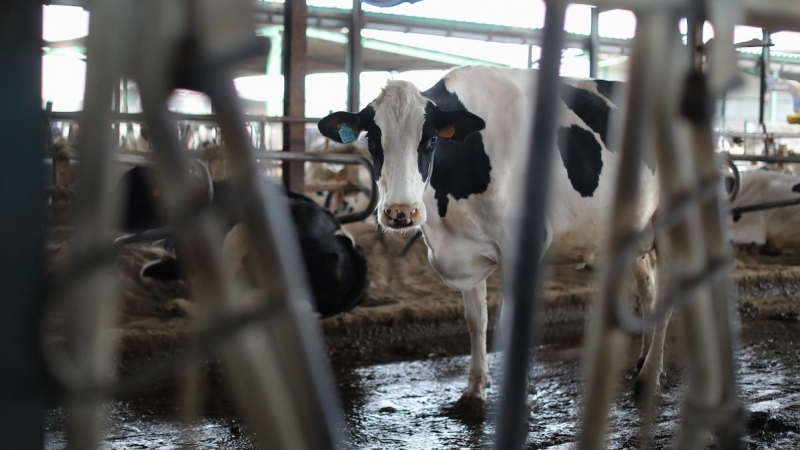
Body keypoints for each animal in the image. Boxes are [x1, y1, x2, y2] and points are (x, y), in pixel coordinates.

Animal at [318, 67, 664, 412]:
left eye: (431, 139)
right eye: (372, 140)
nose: (401, 212)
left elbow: (511, 323)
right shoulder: (464, 251)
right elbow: (476, 320)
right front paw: (474, 392)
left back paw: (648, 377)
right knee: (649, 289)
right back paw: (642, 361)